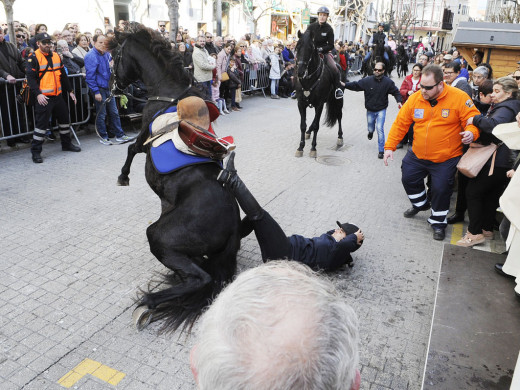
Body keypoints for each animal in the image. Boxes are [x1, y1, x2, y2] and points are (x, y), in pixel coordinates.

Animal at [108, 24, 243, 334]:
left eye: (116, 56)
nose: (114, 86)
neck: (168, 94)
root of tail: (233, 226)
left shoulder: (143, 139)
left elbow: (130, 149)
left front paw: (123, 177)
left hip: (158, 235)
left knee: (201, 279)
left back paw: (149, 302)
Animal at [294, 29, 344, 157]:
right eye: (297, 47)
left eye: (310, 48)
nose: (300, 71)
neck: (309, 79)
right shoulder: (301, 104)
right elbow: (303, 125)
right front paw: (300, 147)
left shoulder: (319, 104)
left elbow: (317, 126)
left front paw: (313, 148)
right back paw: (308, 131)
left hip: (338, 100)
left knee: (339, 115)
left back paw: (340, 137)